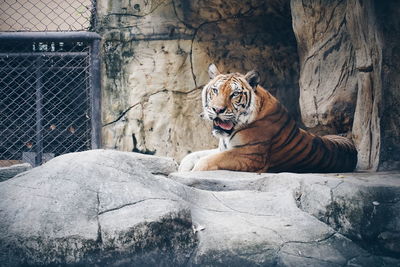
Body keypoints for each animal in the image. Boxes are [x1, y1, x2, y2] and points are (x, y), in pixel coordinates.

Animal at [180, 64, 358, 174]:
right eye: (215, 90)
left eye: (235, 94)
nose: (217, 110)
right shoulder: (223, 148)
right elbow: (192, 156)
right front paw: (183, 168)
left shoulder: (250, 155)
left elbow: (206, 161)